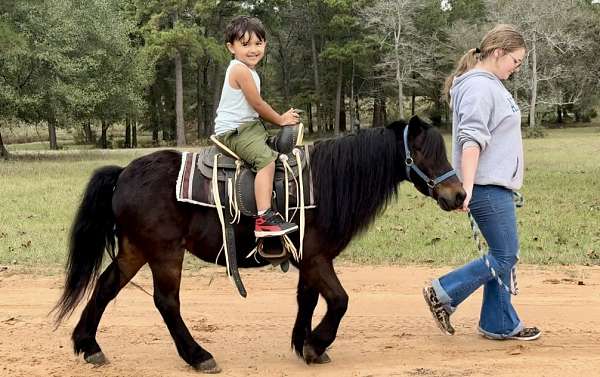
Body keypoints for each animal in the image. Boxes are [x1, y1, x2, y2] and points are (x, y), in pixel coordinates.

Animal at [52, 115, 464, 374]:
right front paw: (316, 344)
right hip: (165, 253)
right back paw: (198, 355)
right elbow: (339, 301)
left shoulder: (307, 260)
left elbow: (307, 299)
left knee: (105, 287)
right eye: (424, 152)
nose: (459, 194)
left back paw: (89, 345)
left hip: (135, 249)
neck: (324, 183)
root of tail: (124, 172)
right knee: (166, 302)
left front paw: (302, 343)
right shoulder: (317, 258)